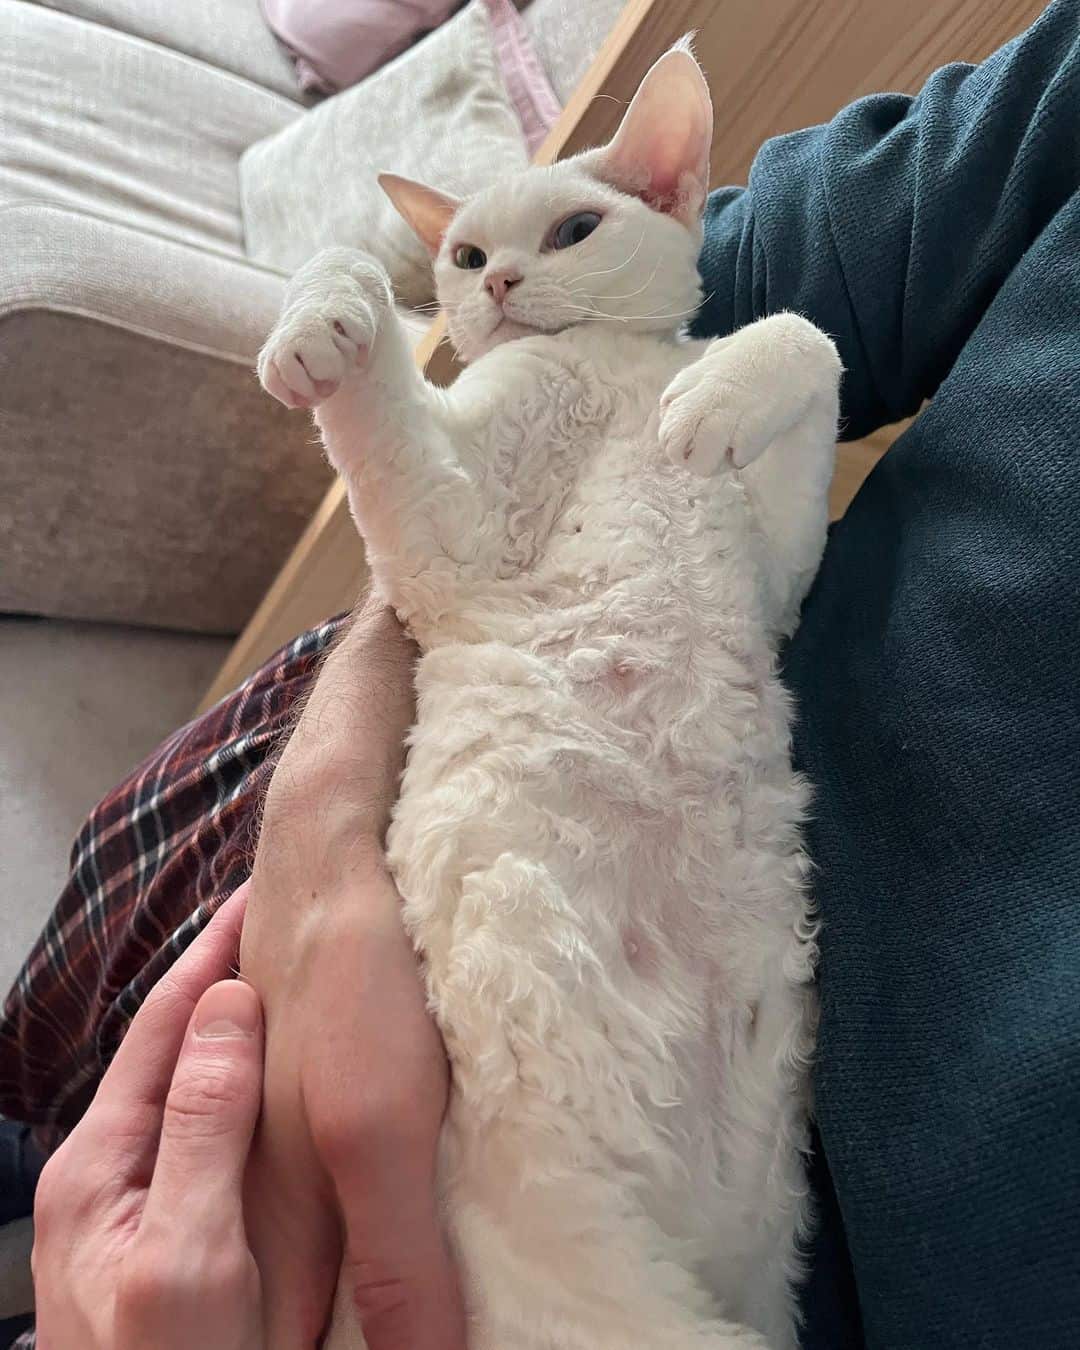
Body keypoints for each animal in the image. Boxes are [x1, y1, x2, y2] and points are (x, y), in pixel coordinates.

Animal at [259, 42, 842, 1350]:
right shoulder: (450, 549)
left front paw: (717, 396)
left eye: (575, 228)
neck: (608, 372)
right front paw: (328, 308)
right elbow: (368, 352)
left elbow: (808, 339)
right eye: (467, 256)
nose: (503, 285)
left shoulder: (781, 573)